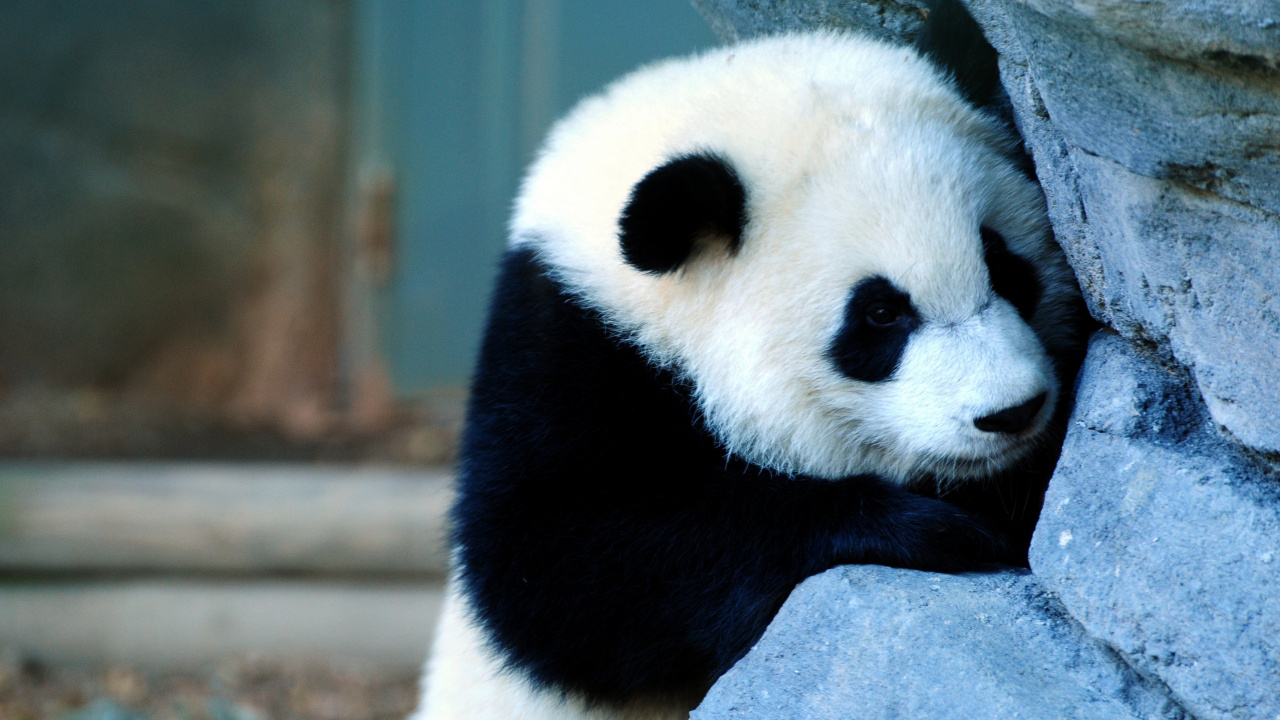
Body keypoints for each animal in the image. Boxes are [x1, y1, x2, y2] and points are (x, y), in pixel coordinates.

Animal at [412, 2, 1086, 719]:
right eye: (880, 314)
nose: (1012, 411)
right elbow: (554, 567)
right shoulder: (565, 347)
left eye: (1003, 264)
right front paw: (935, 529)